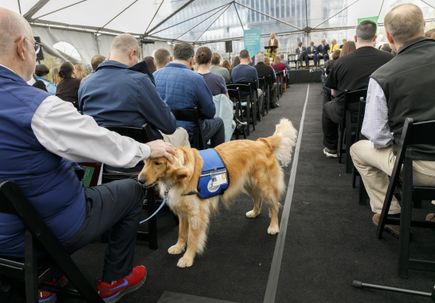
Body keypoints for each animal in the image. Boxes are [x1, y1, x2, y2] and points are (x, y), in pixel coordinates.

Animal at [138, 119, 298, 268]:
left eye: (158, 163)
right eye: (145, 161)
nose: (140, 180)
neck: (178, 177)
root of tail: (262, 142)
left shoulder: (196, 213)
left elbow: (192, 237)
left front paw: (188, 257)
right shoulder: (182, 211)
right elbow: (182, 233)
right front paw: (178, 247)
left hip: (263, 185)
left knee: (274, 205)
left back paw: (274, 226)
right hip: (248, 183)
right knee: (258, 198)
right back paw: (254, 212)